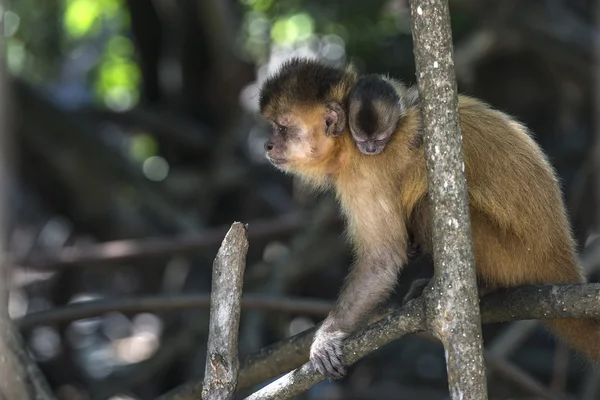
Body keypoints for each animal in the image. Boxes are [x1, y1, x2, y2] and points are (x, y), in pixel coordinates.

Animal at [256, 56, 596, 378]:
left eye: (282, 128)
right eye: (273, 127)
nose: (268, 144)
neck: (348, 144)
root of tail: (560, 255)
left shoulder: (364, 171)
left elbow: (382, 260)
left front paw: (327, 337)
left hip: (514, 257)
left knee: (425, 206)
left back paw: (482, 284)